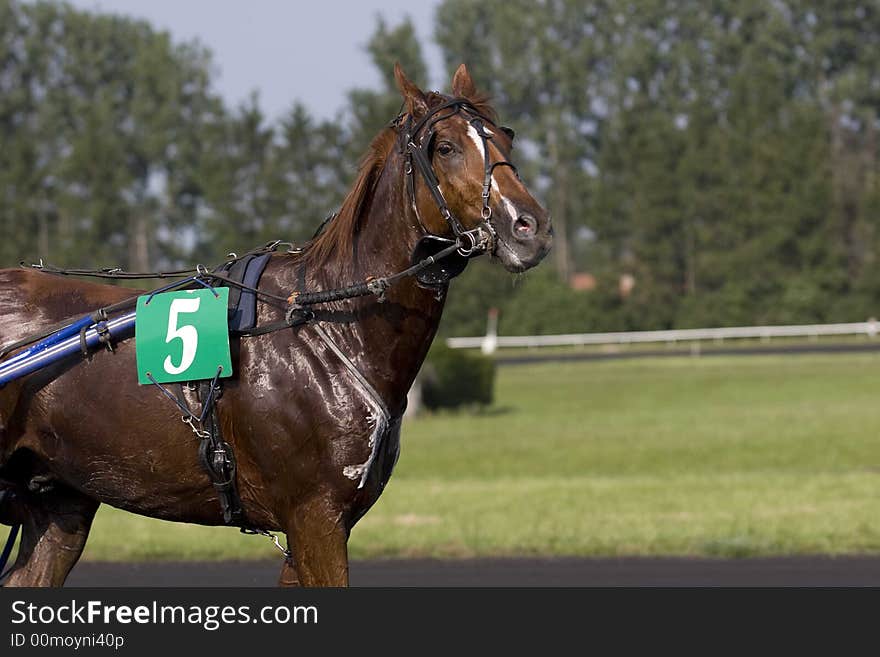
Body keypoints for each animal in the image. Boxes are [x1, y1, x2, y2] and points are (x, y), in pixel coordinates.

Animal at [0, 64, 552, 588]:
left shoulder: (316, 524)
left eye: (505, 137)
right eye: (446, 146)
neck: (328, 318)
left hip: (62, 500)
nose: (531, 228)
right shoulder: (314, 516)